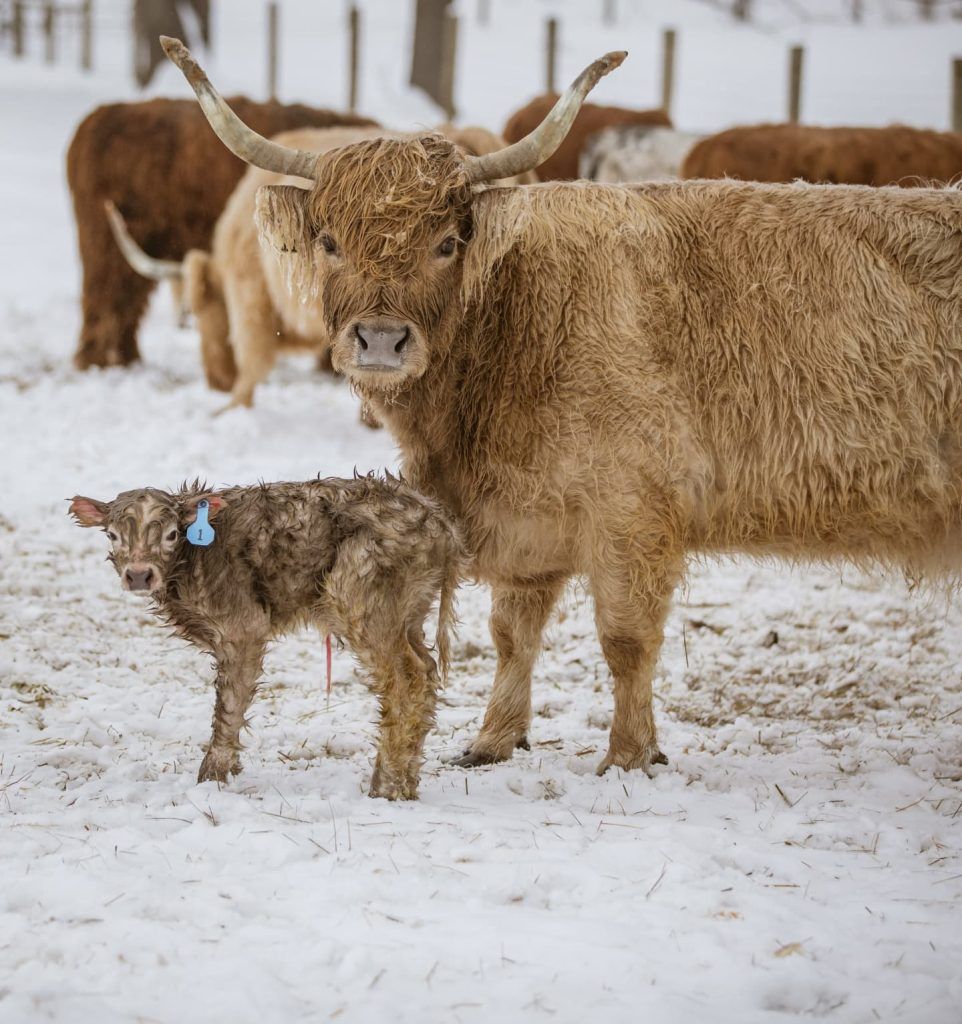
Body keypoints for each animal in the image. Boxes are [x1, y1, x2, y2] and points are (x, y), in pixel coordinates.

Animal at [69, 475, 464, 800]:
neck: (195, 557)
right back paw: (407, 781)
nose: (139, 574)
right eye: (112, 535)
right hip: (408, 614)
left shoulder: (243, 626)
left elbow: (230, 702)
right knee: (426, 672)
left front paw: (212, 778)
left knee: (406, 680)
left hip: (361, 601)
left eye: (170, 534)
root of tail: (439, 523)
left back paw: (386, 786)